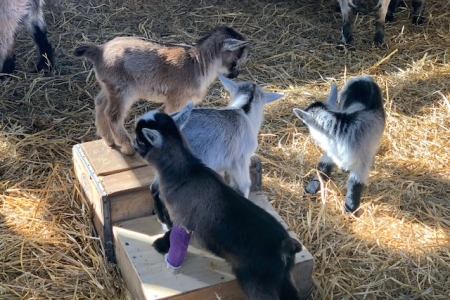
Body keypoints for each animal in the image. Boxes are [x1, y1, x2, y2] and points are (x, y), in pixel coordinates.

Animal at [74, 26, 250, 156]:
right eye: (236, 60)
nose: (236, 75)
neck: (199, 64)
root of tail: (99, 50)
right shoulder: (177, 99)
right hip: (122, 88)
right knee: (112, 114)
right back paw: (127, 147)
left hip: (109, 86)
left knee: (100, 103)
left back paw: (108, 140)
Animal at [134, 109, 302, 300]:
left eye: (140, 140)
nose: (133, 143)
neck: (186, 171)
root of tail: (286, 244)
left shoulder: (182, 219)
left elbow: (172, 235)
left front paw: (162, 247)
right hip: (283, 277)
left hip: (258, 283)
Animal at [294, 75, 384, 213]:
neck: (342, 127)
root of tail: (364, 77)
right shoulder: (330, 151)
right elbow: (322, 168)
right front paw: (311, 189)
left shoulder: (363, 159)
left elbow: (355, 182)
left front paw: (351, 206)